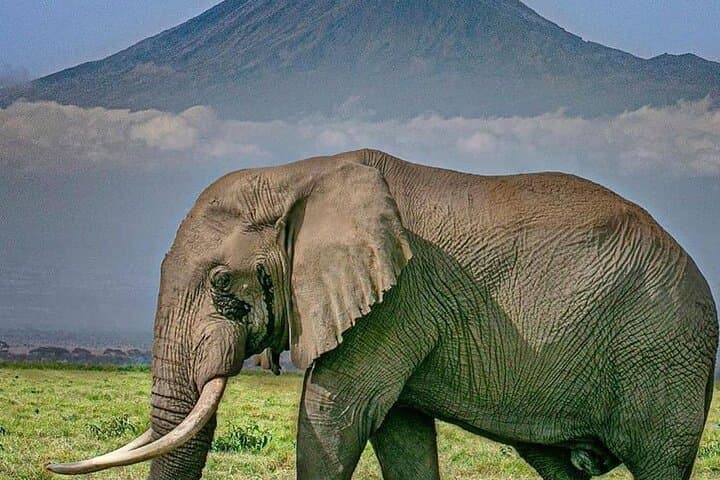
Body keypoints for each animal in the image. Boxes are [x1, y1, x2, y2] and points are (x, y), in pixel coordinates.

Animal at [47, 149, 717, 480]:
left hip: (666, 355)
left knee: (658, 464)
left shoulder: (399, 297)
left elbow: (335, 413)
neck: (297, 177)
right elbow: (399, 431)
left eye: (220, 284)